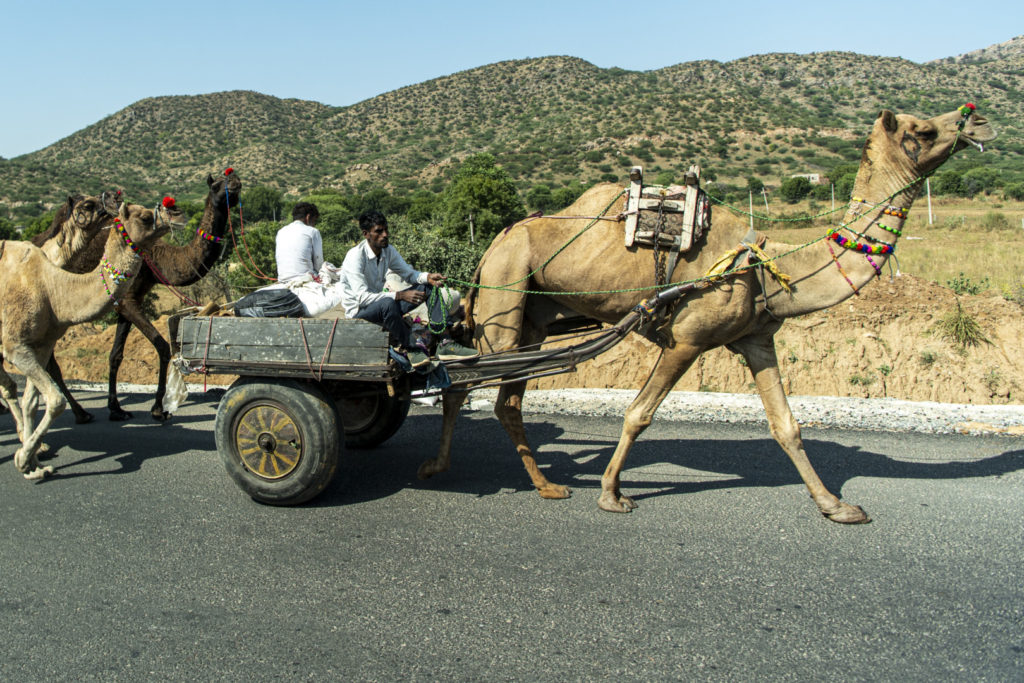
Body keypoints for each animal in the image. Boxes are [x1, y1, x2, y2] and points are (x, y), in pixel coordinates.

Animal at [0, 201, 178, 481]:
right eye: (144, 217)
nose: (174, 212)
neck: (53, 289)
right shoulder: (16, 347)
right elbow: (55, 400)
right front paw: (23, 459)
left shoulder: (41, 346)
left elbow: (32, 402)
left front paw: (33, 464)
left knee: (8, 386)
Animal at [59, 167, 241, 419]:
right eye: (216, 185)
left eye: (234, 178)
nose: (234, 181)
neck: (157, 258)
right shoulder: (128, 300)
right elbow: (163, 346)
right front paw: (158, 409)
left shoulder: (129, 300)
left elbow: (116, 354)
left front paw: (116, 409)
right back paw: (79, 413)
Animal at [419, 105, 995, 524]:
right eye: (923, 128)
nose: (980, 120)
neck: (765, 269)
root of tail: (493, 242)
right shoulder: (688, 338)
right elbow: (639, 413)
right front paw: (611, 495)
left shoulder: (756, 339)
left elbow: (787, 425)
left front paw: (837, 506)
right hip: (505, 296)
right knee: (466, 385)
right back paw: (457, 470)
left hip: (534, 318)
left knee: (499, 398)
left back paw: (531, 483)